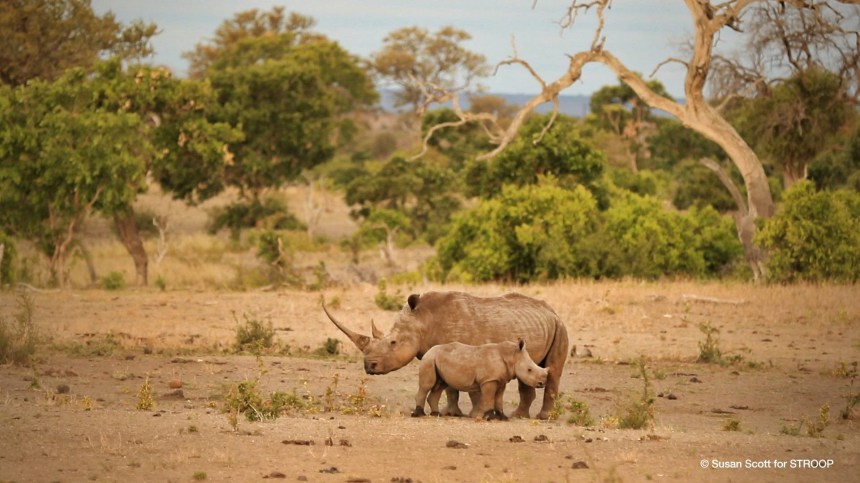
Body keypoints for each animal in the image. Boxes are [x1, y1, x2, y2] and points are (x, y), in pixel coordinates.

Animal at [411, 339, 549, 420]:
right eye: (529, 370)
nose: (542, 383)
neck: (511, 356)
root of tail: (428, 350)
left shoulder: (501, 380)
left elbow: (499, 399)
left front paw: (503, 417)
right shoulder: (489, 380)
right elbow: (489, 397)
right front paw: (489, 417)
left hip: (437, 360)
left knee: (440, 385)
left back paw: (436, 414)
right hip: (429, 359)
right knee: (426, 385)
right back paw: (418, 414)